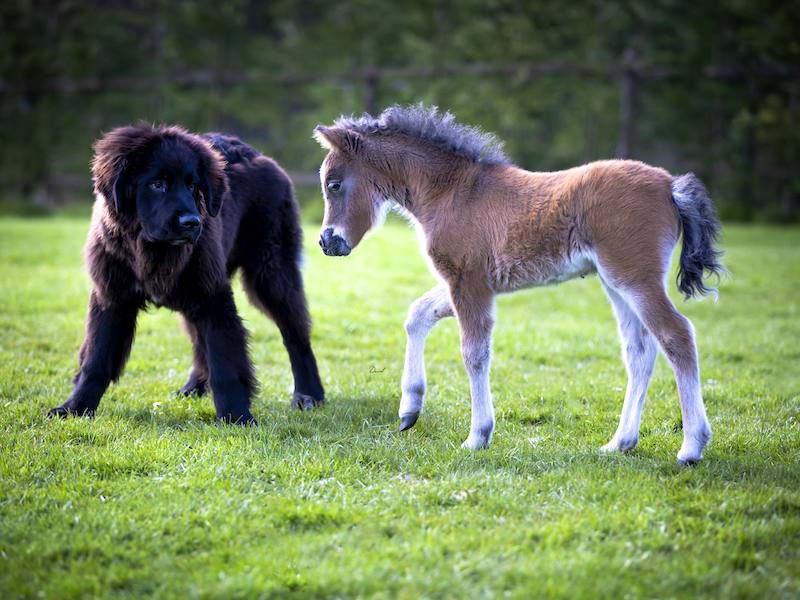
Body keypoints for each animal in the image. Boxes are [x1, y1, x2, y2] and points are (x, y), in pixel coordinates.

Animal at [313, 104, 725, 464]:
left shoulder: (468, 281)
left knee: (676, 334)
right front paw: (409, 409)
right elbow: (417, 315)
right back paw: (620, 443)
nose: (326, 242)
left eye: (334, 184)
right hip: (616, 281)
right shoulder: (469, 282)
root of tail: (671, 185)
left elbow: (474, 353)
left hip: (635, 275)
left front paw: (477, 436)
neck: (452, 193)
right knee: (639, 351)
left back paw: (691, 447)